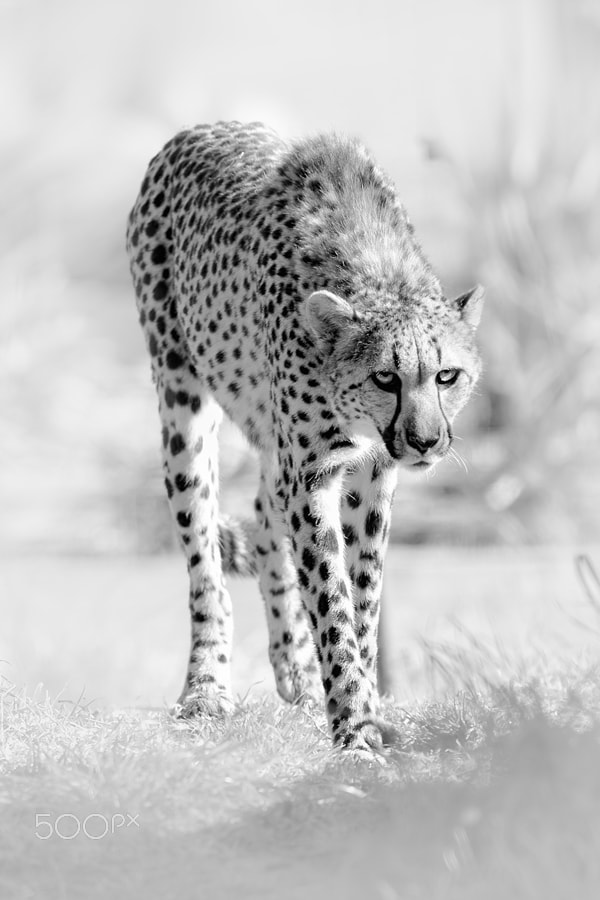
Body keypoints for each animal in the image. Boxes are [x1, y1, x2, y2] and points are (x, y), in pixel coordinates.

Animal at [126, 121, 484, 753]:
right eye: (385, 377)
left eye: (448, 376)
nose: (425, 442)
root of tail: (196, 131)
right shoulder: (313, 473)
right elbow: (330, 598)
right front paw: (355, 732)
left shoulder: (372, 475)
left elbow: (362, 597)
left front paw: (362, 703)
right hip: (181, 399)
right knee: (205, 561)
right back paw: (207, 688)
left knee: (264, 507)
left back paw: (294, 663)